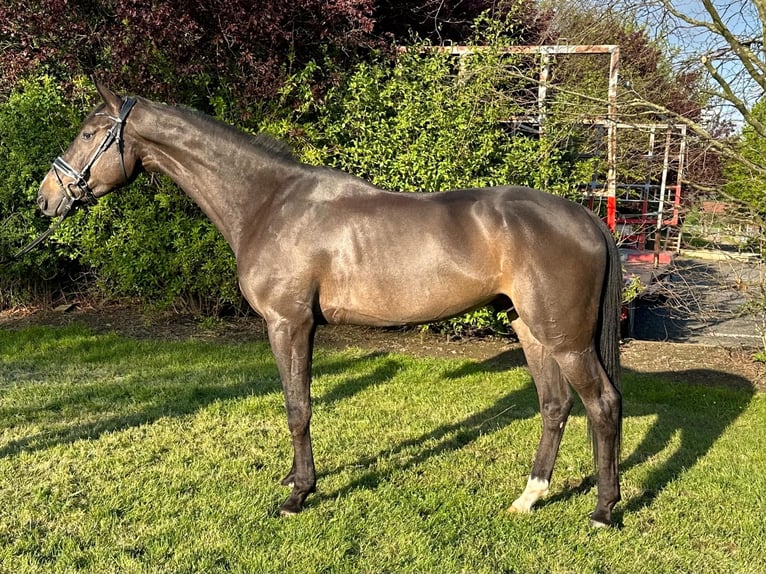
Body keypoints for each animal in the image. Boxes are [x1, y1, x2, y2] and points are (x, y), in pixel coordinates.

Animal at [37, 80, 624, 528]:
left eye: (89, 133)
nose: (45, 198)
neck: (269, 202)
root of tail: (586, 217)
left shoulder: (288, 323)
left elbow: (298, 408)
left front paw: (298, 494)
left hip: (568, 341)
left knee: (602, 405)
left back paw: (603, 511)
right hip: (532, 330)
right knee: (555, 406)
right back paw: (529, 497)